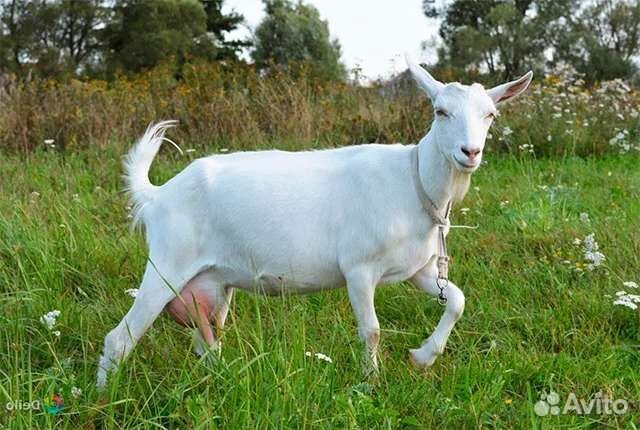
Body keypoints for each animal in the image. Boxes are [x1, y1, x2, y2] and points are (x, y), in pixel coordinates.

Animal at [97, 58, 532, 387]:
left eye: (490, 115)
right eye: (440, 111)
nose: (469, 152)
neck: (413, 182)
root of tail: (158, 195)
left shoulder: (418, 270)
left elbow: (456, 300)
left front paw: (422, 356)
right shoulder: (359, 268)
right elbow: (371, 329)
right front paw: (370, 384)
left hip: (211, 283)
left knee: (206, 340)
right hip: (167, 264)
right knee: (120, 338)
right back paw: (103, 399)